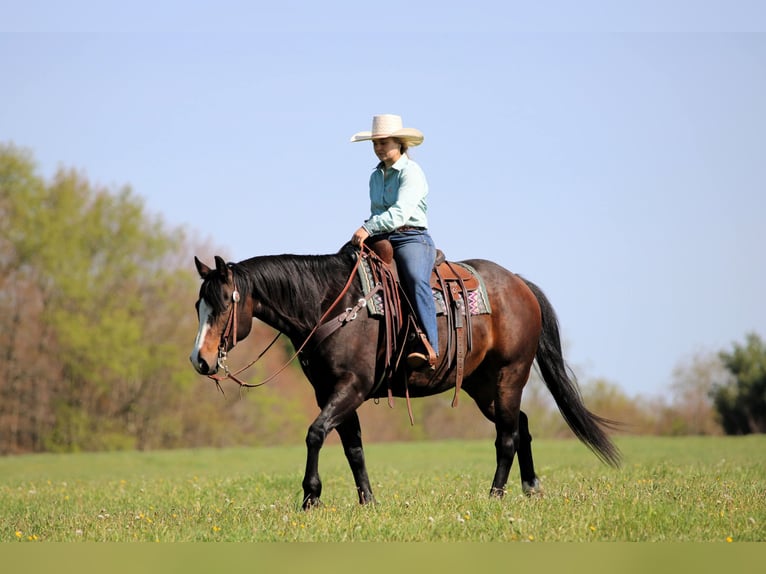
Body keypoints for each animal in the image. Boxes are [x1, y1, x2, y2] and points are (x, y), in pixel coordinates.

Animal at [190, 244, 620, 509]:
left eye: (224, 304)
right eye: (198, 305)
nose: (201, 360)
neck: (333, 306)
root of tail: (519, 284)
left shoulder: (351, 387)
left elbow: (315, 433)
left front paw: (310, 497)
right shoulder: (331, 392)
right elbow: (353, 448)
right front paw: (368, 501)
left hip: (509, 376)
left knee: (507, 437)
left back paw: (495, 495)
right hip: (483, 386)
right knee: (522, 426)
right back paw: (530, 488)